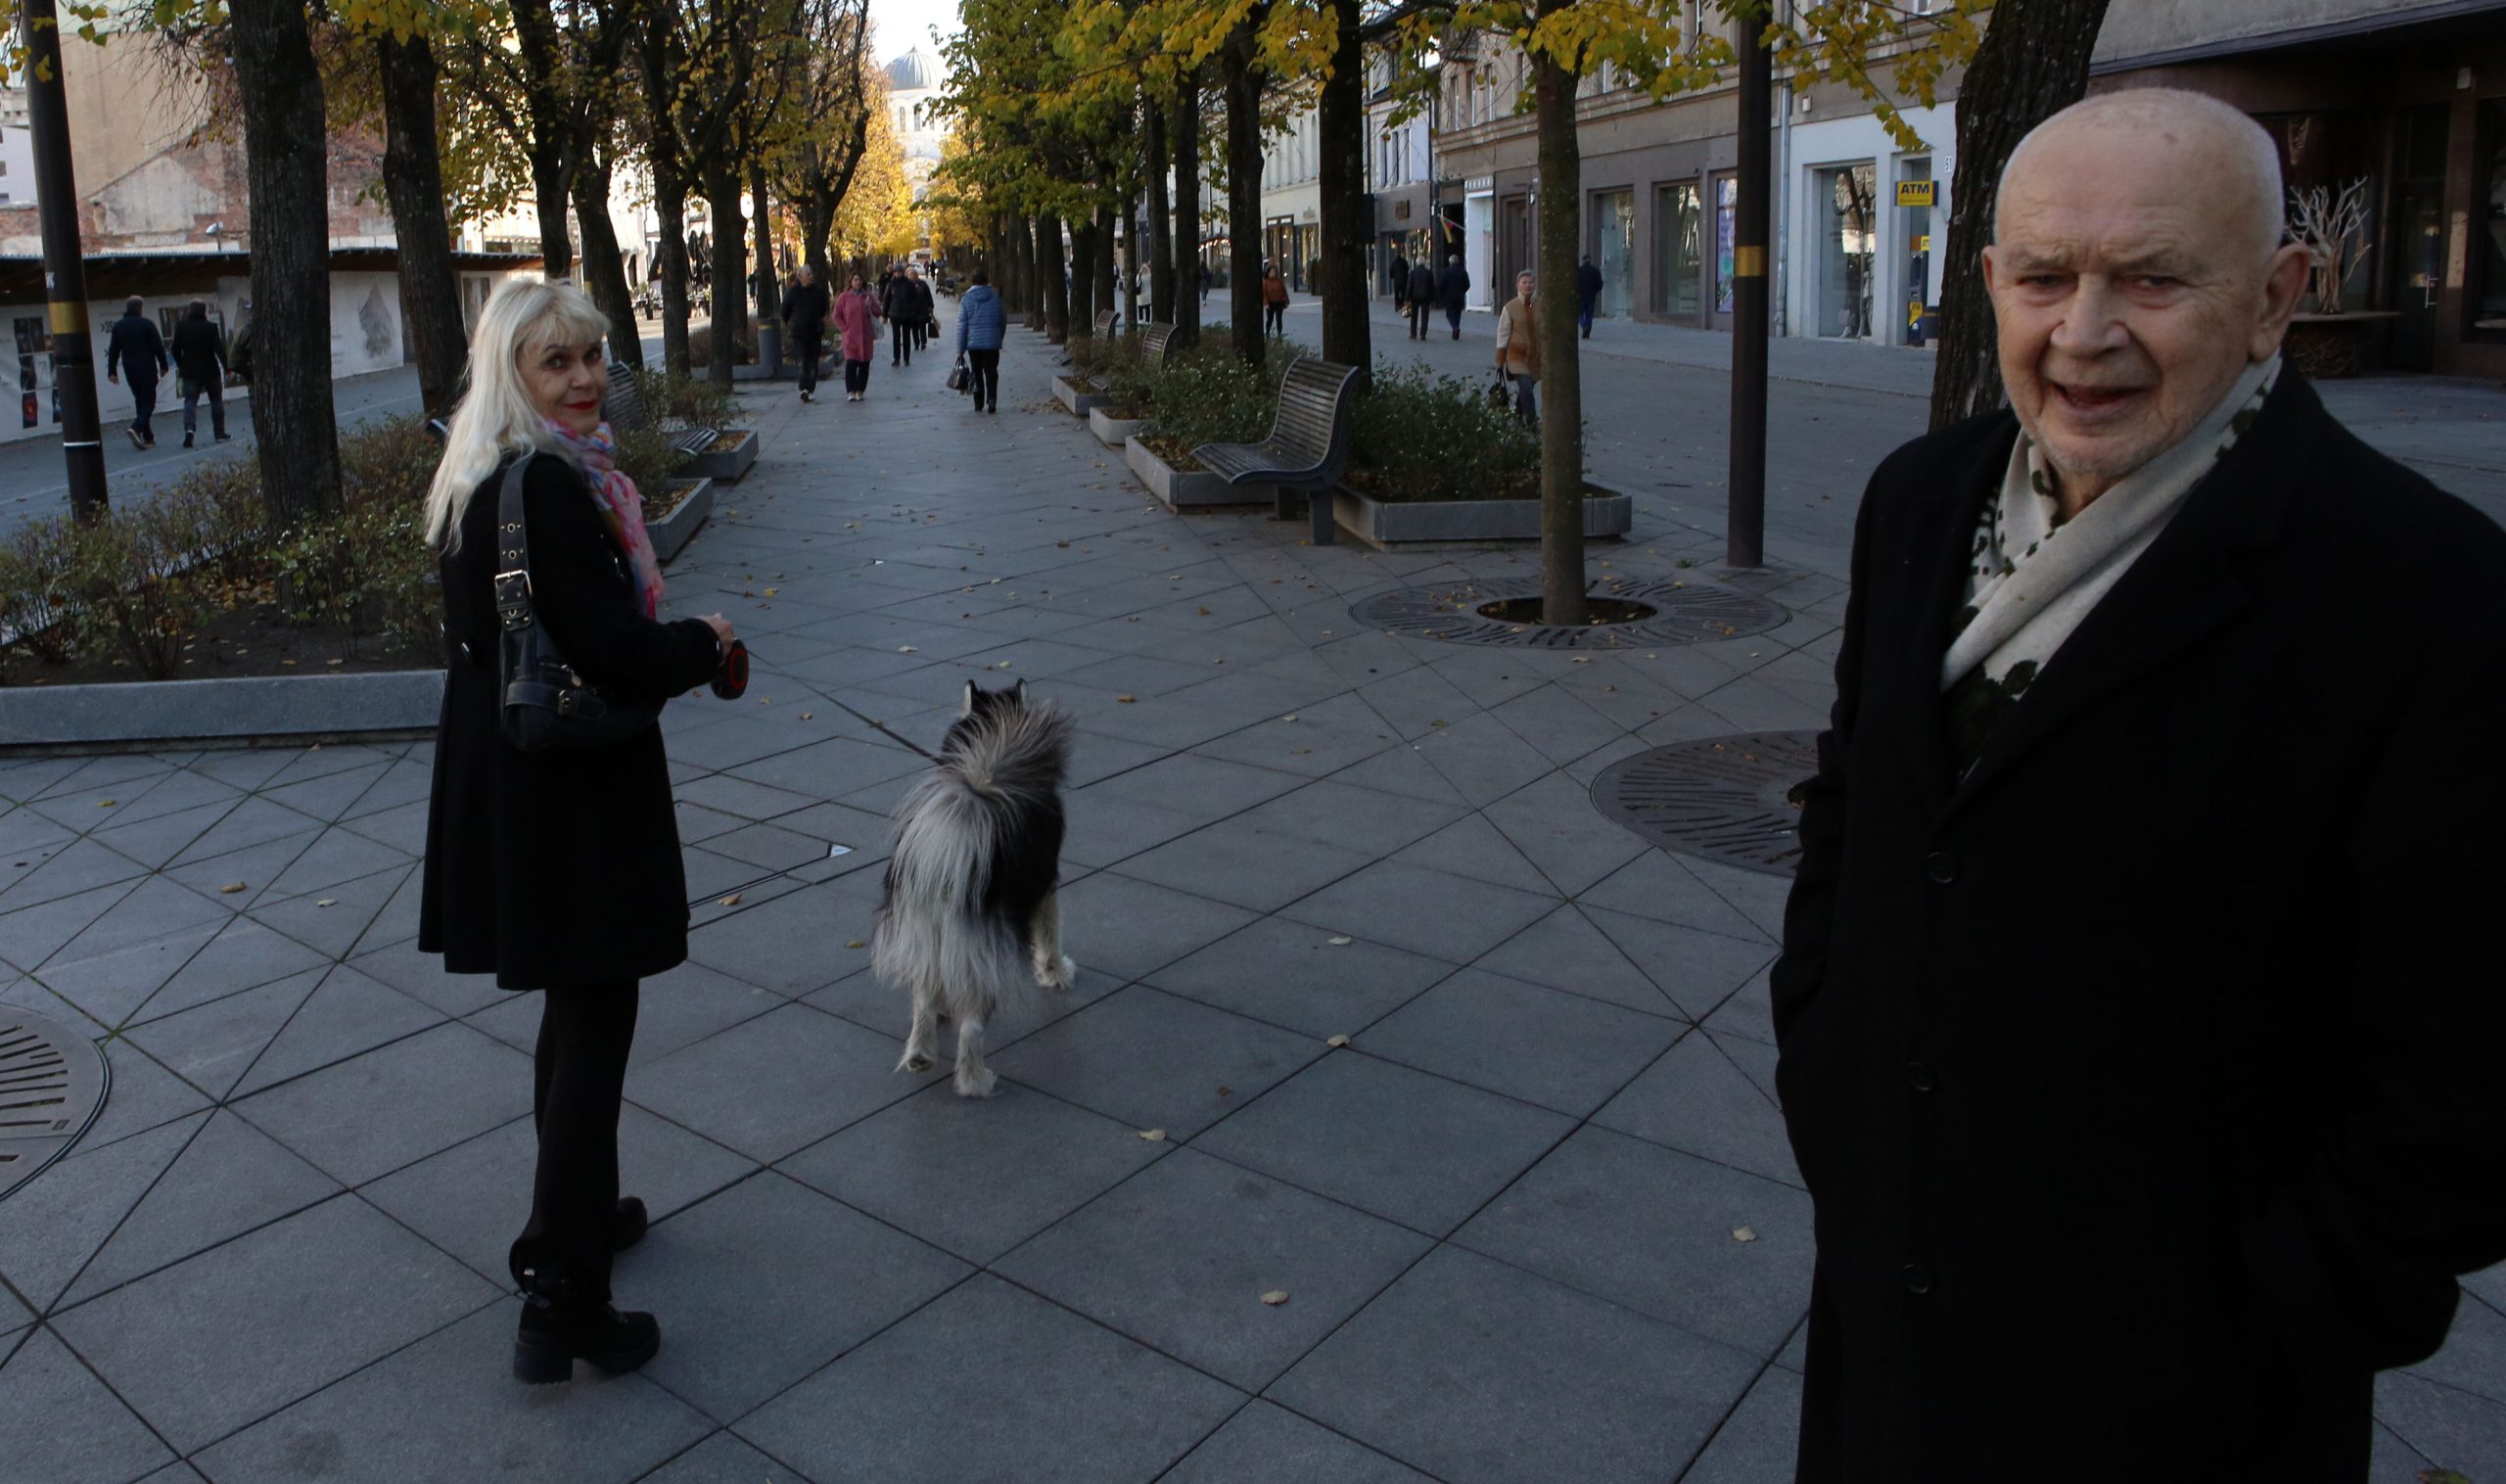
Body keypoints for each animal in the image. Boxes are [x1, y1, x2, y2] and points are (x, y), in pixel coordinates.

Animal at [866, 676, 1072, 1097]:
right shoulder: (1047, 885)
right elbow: (1051, 935)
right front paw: (1057, 973)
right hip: (985, 947)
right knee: (972, 1028)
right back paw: (975, 1080)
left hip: (926, 930)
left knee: (923, 1000)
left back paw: (920, 1055)